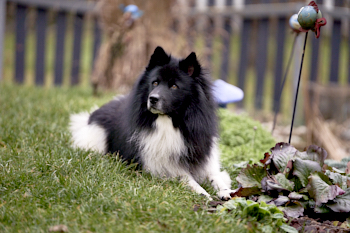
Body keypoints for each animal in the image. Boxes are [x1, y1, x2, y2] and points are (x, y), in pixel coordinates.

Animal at [69, 47, 234, 200]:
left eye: (174, 86)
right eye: (155, 83)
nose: (152, 99)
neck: (171, 122)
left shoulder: (206, 159)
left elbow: (215, 176)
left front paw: (226, 191)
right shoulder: (161, 166)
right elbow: (186, 178)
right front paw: (202, 192)